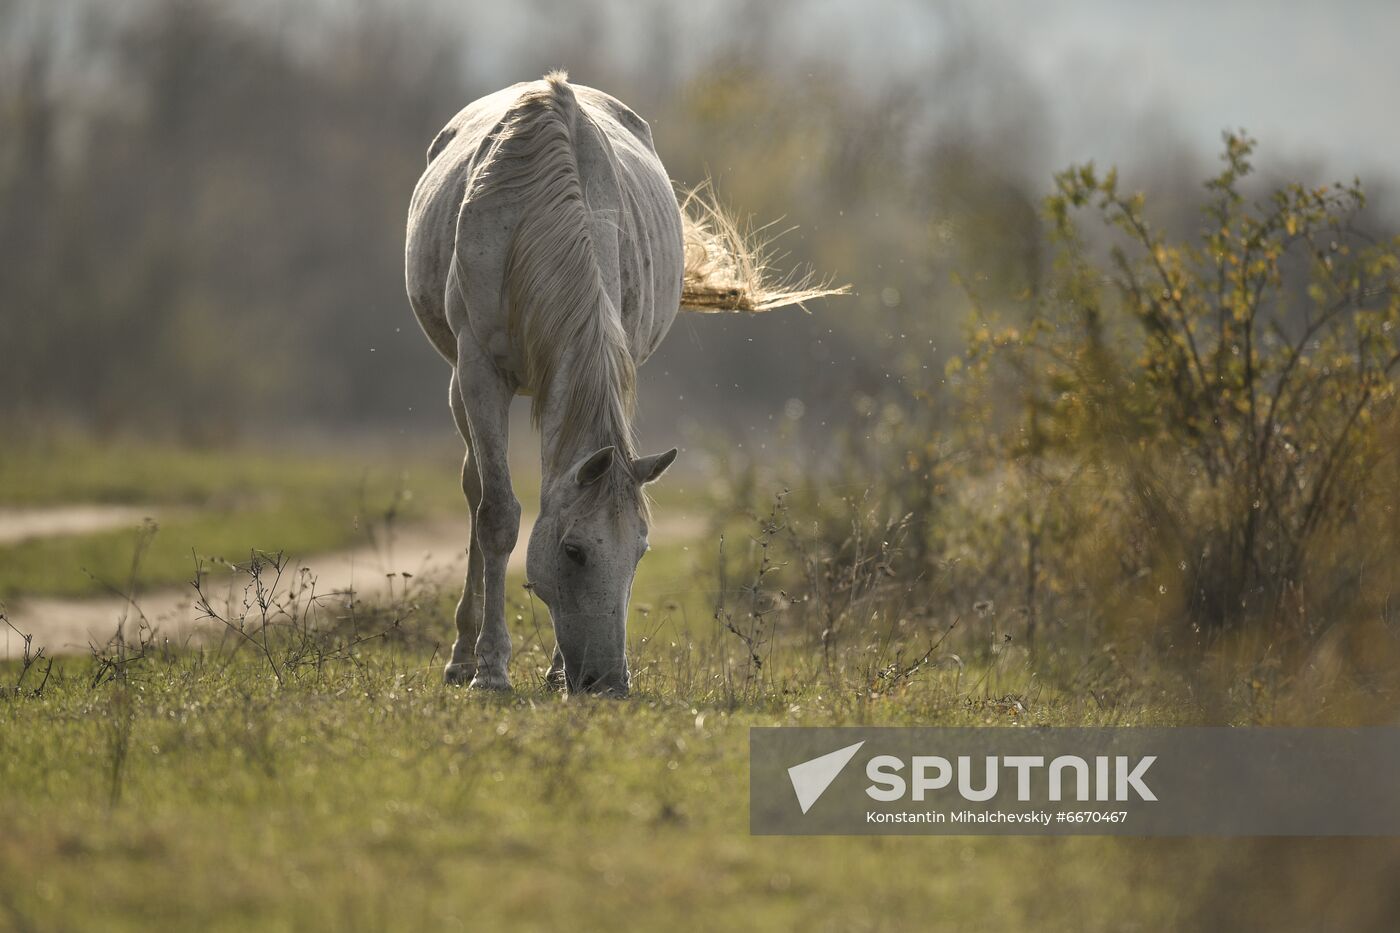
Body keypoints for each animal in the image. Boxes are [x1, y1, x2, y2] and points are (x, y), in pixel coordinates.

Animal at [406, 72, 840, 694]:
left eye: (640, 552)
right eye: (574, 552)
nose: (607, 682)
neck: (534, 220)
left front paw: (553, 672)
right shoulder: (477, 372)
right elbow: (497, 515)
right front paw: (489, 668)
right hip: (460, 386)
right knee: (473, 488)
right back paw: (462, 655)